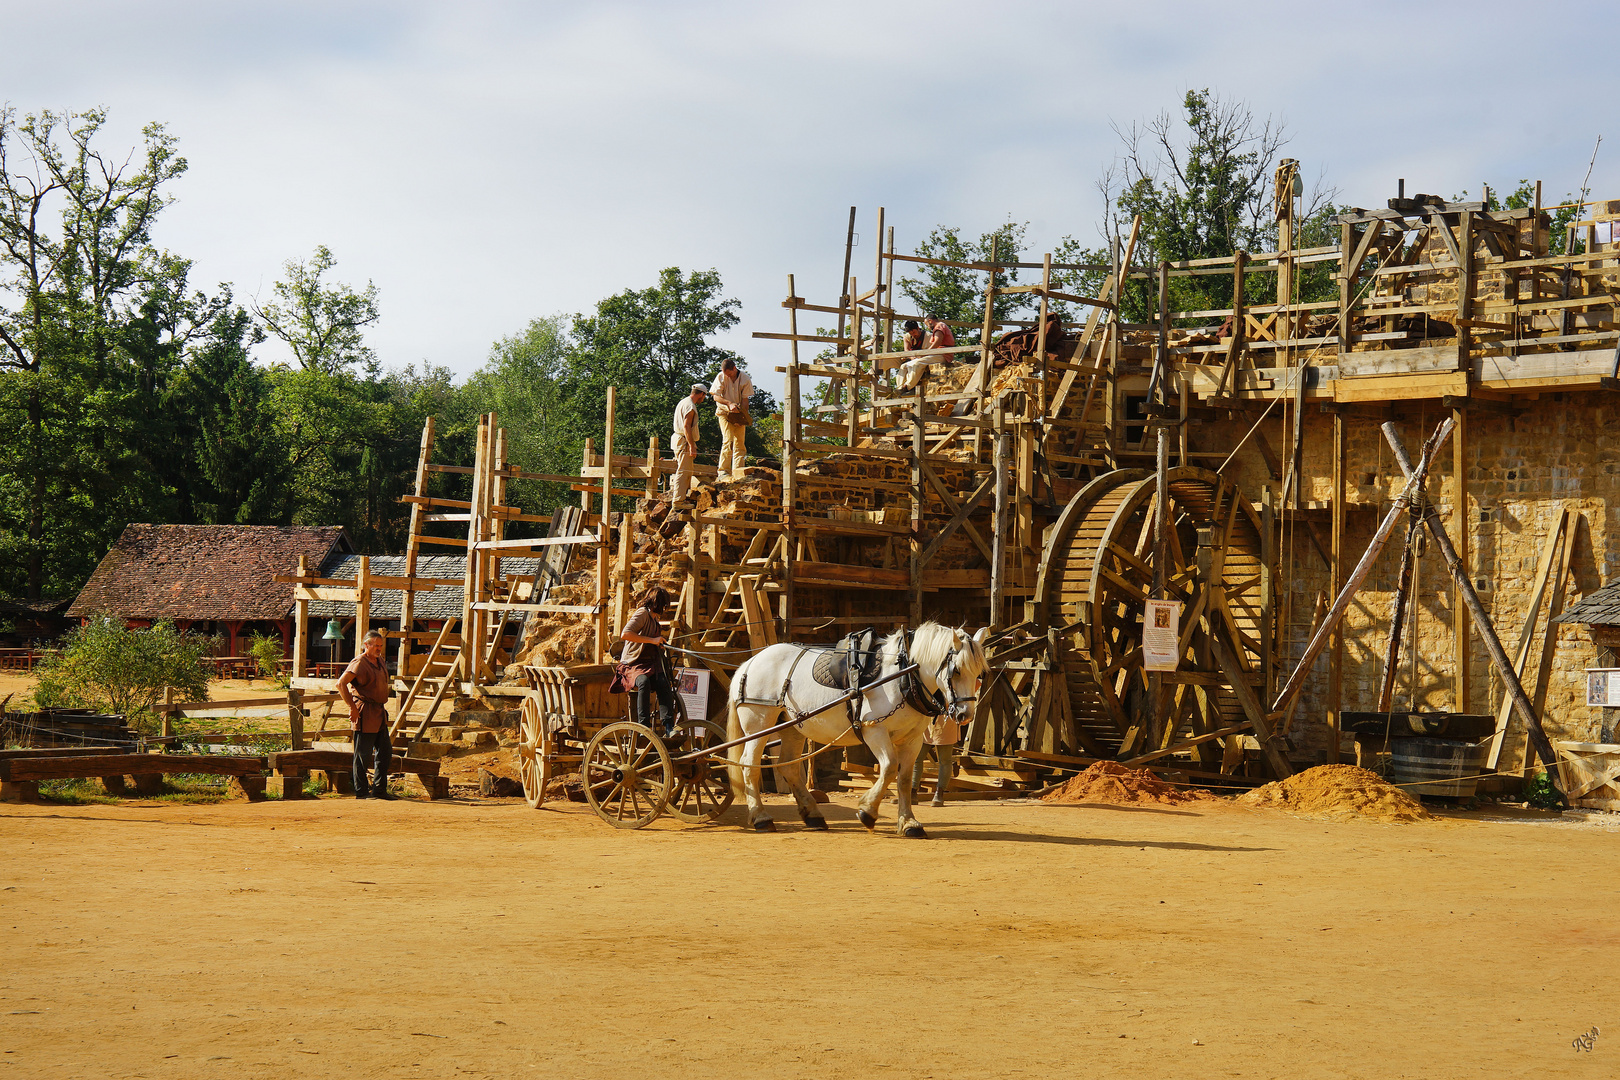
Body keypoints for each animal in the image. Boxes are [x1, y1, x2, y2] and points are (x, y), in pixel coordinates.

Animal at [725, 621, 984, 841]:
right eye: (957, 670)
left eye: (979, 672)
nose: (965, 715)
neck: (903, 674)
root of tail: (750, 662)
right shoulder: (874, 730)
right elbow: (889, 768)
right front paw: (867, 812)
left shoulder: (912, 739)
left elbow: (904, 778)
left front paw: (909, 823)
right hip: (759, 723)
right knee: (750, 764)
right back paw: (761, 818)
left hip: (791, 726)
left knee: (788, 766)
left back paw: (813, 815)